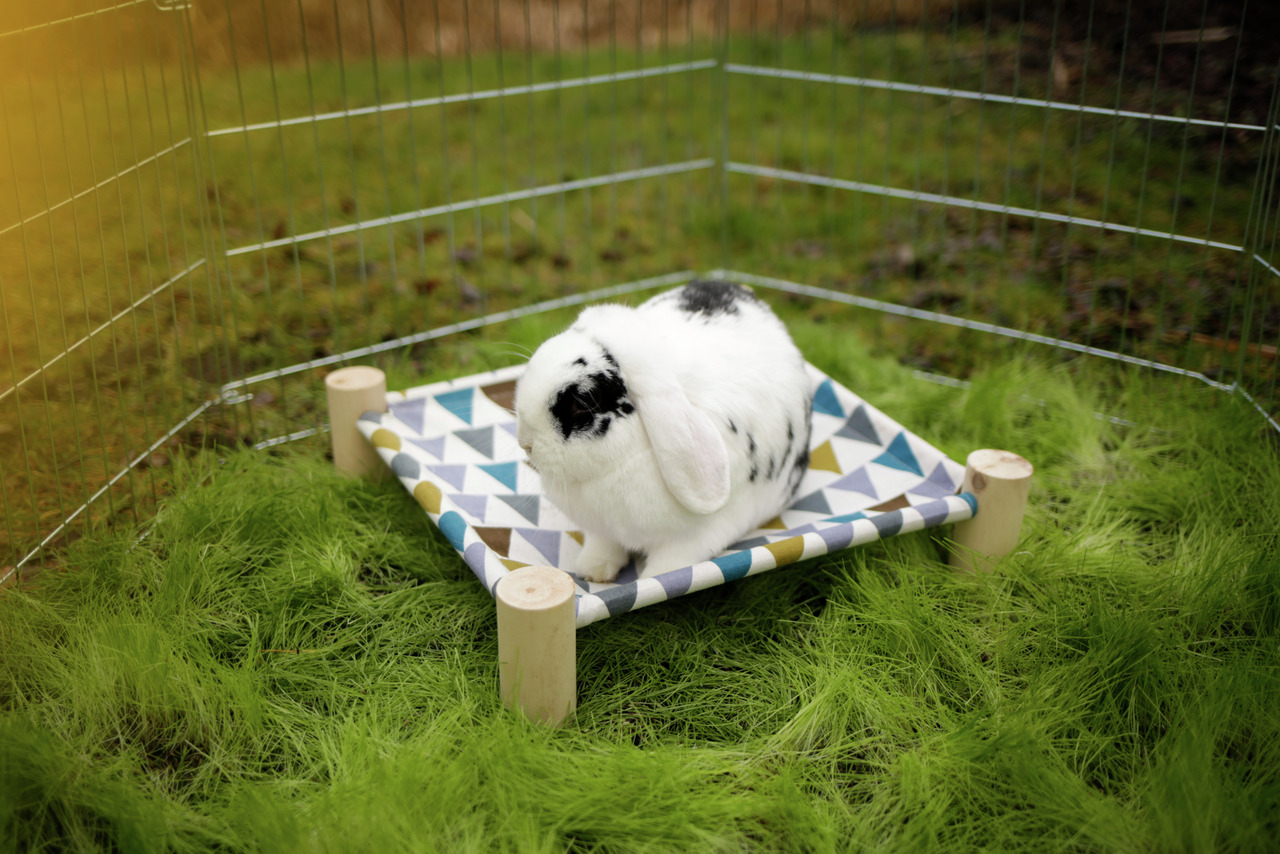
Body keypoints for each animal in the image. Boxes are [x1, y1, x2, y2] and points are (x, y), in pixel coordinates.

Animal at [514, 279, 813, 582]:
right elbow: (603, 546)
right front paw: (594, 572)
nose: (525, 443)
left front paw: (654, 579)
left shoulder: (695, 538)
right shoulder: (603, 532)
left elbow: (673, 563)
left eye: (584, 402)